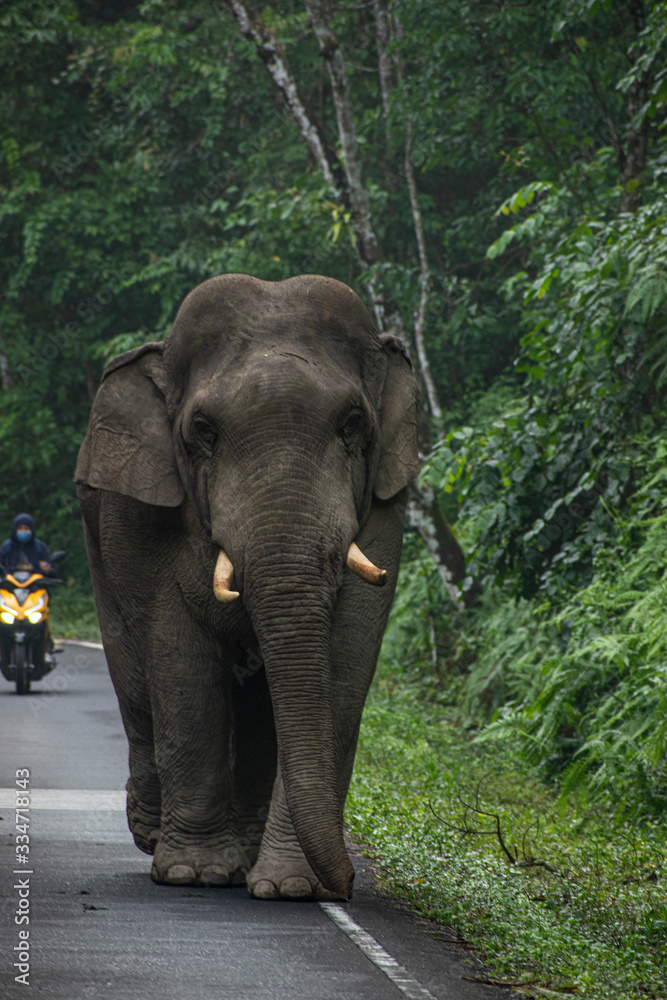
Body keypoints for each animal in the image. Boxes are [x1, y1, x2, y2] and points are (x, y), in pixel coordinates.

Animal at [75, 273, 420, 901]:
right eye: (203, 432)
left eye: (353, 425)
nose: (349, 885)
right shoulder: (142, 521)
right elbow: (179, 659)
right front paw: (194, 874)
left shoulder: (387, 504)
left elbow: (346, 656)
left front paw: (291, 887)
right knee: (134, 678)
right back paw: (153, 833)